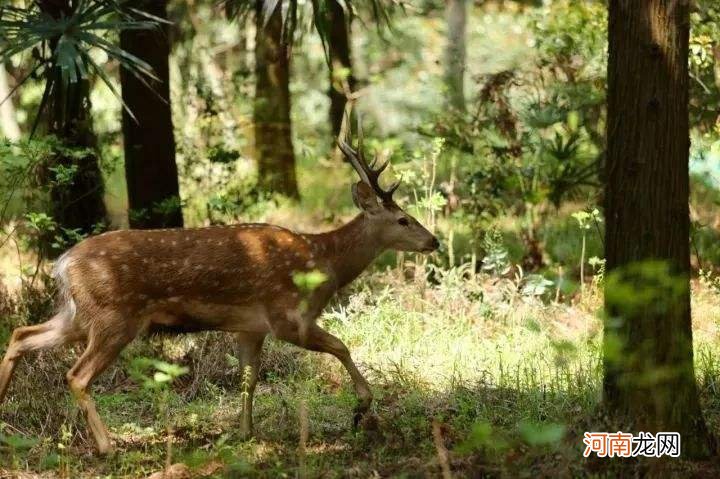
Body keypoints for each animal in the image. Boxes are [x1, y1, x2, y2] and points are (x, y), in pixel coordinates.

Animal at [0, 120, 438, 454]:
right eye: (403, 219)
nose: (433, 241)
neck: (324, 261)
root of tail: (62, 263)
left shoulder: (251, 327)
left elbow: (249, 377)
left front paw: (244, 432)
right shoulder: (286, 316)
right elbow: (341, 346)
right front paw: (361, 409)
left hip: (80, 314)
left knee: (22, 334)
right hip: (114, 316)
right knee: (76, 375)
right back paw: (108, 446)